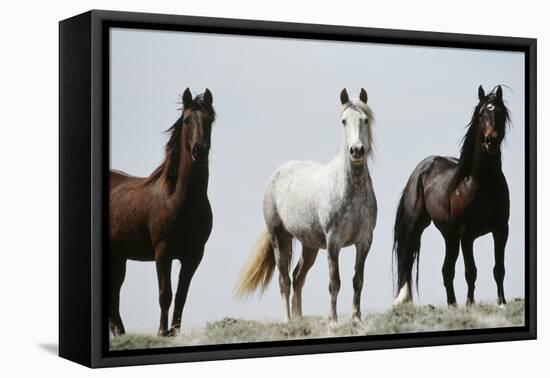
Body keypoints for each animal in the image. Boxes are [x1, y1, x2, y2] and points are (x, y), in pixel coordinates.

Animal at [109, 88, 216, 336]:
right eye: (187, 120)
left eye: (209, 120)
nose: (199, 151)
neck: (179, 200)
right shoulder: (163, 252)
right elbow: (165, 294)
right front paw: (161, 332)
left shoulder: (194, 256)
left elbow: (181, 296)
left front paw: (174, 333)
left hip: (119, 258)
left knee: (114, 297)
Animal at [237, 88, 380, 322]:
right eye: (343, 121)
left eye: (365, 119)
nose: (356, 151)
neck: (351, 191)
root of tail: (276, 174)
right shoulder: (333, 243)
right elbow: (334, 283)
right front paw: (333, 321)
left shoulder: (364, 241)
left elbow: (357, 280)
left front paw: (356, 318)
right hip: (280, 238)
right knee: (284, 280)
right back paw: (288, 320)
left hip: (309, 246)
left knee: (298, 277)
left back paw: (299, 318)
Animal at [394, 85, 512, 308]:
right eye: (481, 113)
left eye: (500, 112)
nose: (491, 140)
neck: (481, 184)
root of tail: (420, 170)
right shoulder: (467, 234)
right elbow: (471, 271)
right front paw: (470, 304)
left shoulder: (501, 229)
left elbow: (499, 269)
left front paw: (502, 302)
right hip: (417, 226)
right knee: (406, 259)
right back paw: (403, 299)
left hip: (450, 236)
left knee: (446, 270)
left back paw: (452, 305)